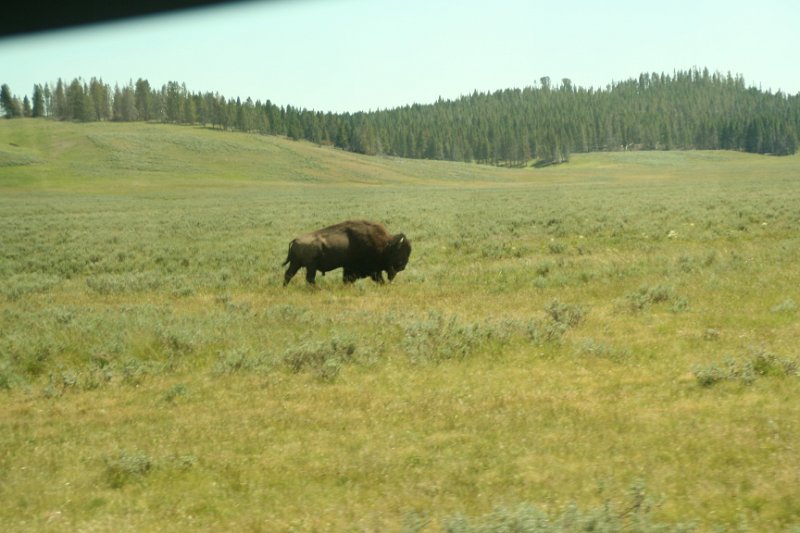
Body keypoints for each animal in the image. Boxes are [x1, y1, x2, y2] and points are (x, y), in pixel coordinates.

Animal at [282, 220, 411, 286]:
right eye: (399, 252)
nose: (402, 266)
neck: (386, 245)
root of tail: (295, 240)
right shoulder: (370, 269)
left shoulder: (349, 268)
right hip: (310, 266)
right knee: (309, 278)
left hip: (296, 264)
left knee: (289, 274)